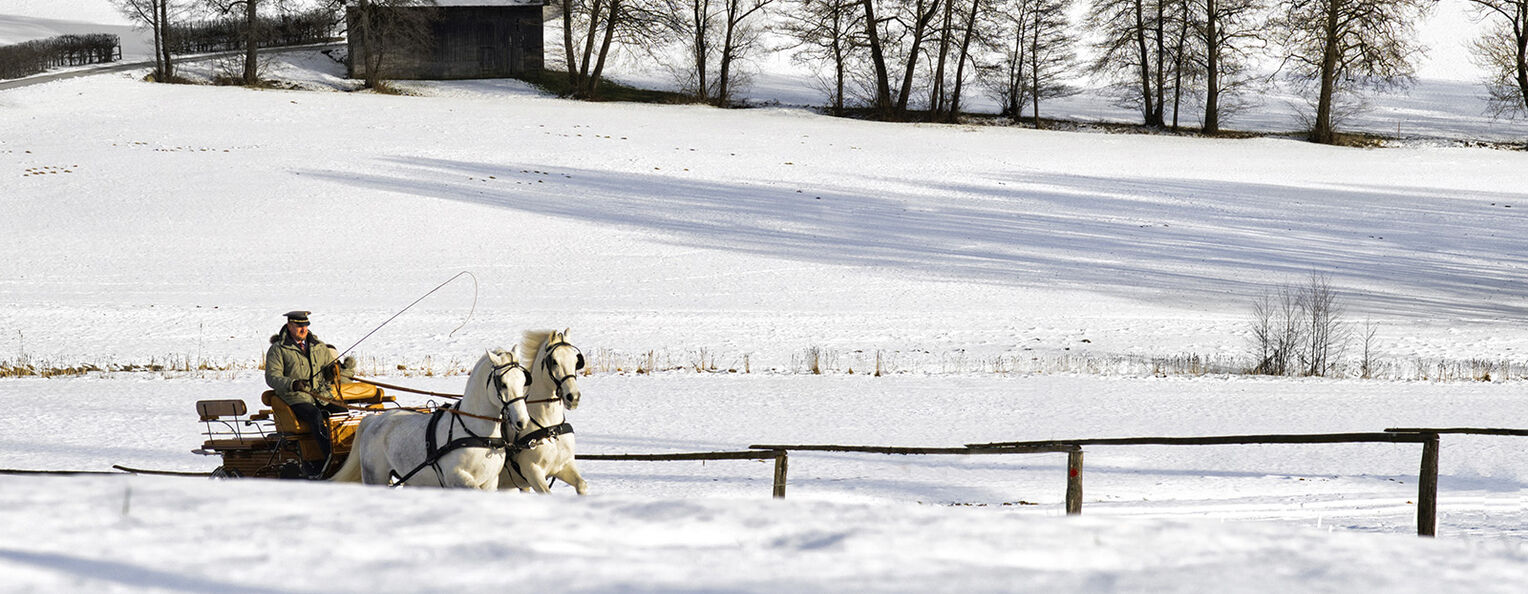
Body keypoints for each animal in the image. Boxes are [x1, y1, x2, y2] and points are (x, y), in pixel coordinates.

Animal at [330, 346, 531, 485]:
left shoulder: (489, 482)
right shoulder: (457, 478)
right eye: (502, 383)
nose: (522, 421)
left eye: (523, 381)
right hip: (375, 477)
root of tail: (373, 419)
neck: (476, 433)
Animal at [507, 326, 589, 491]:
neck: (550, 427)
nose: (573, 397)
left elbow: (582, 484)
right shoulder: (533, 472)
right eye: (554, 361)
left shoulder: (563, 466)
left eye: (576, 360)